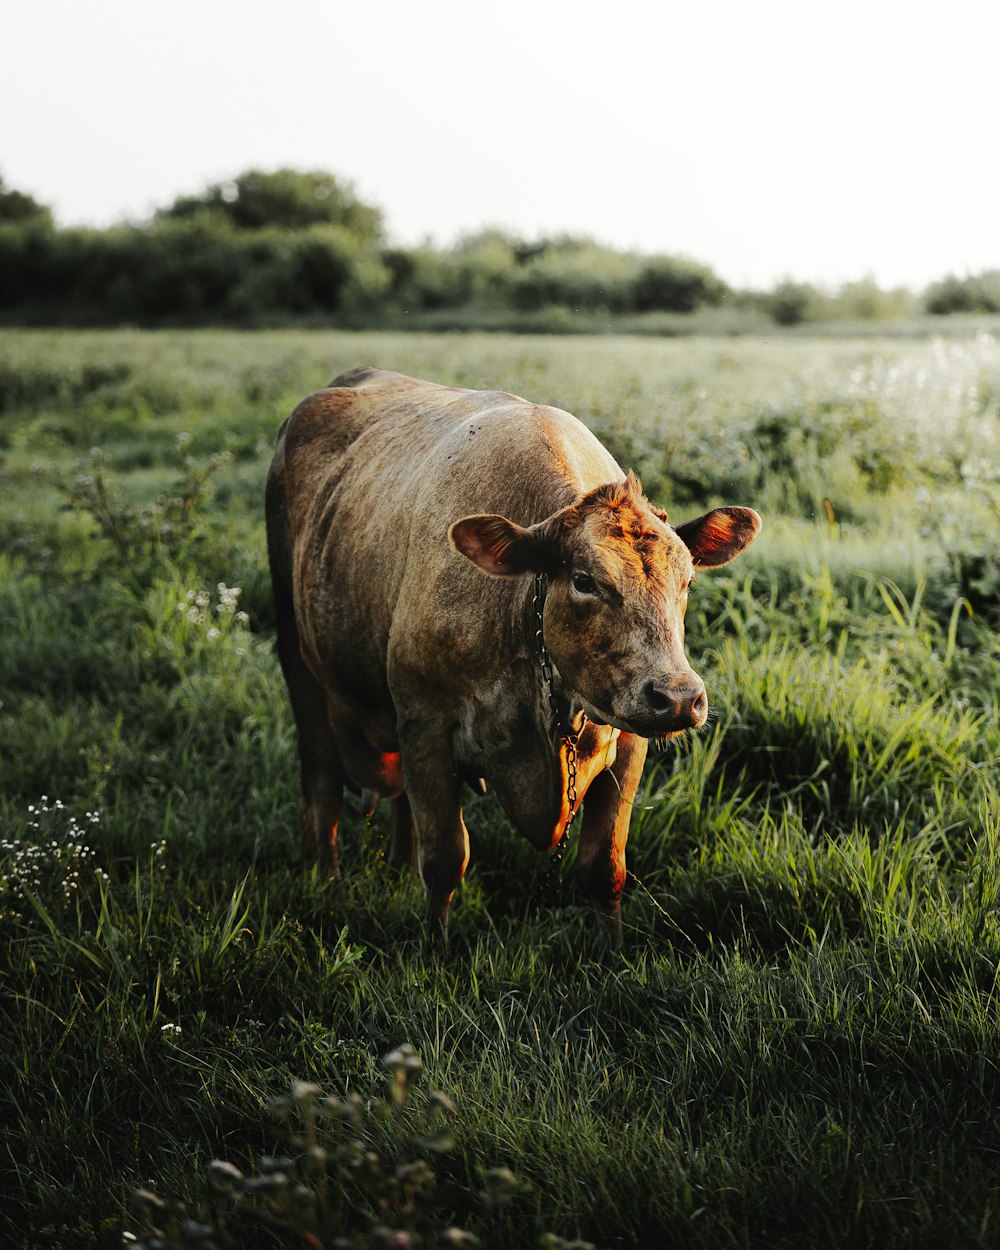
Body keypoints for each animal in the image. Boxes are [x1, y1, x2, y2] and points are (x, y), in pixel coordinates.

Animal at [265, 365, 760, 940]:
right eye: (585, 580)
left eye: (687, 582)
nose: (679, 697)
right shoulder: (425, 723)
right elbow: (444, 859)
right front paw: (434, 949)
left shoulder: (629, 740)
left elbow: (605, 867)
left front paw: (611, 952)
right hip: (296, 651)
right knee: (321, 779)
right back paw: (327, 881)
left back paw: (395, 866)